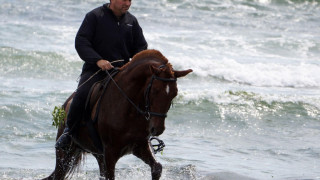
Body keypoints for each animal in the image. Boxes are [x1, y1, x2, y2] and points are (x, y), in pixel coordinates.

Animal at [42, 49, 192, 180]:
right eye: (154, 90)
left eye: (174, 94)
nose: (157, 129)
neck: (129, 109)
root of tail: (65, 105)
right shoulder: (110, 152)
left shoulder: (140, 146)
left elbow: (157, 168)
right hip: (65, 153)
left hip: (98, 155)